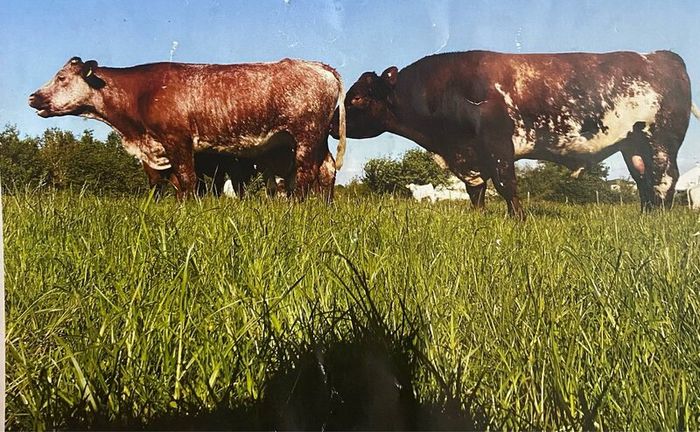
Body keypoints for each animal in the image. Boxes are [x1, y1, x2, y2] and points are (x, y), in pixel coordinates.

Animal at [29, 57, 346, 200]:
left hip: (305, 135)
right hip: (318, 139)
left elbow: (186, 180)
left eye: (61, 77)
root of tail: (318, 65)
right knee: (327, 170)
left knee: (306, 174)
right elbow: (175, 183)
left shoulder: (177, 140)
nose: (33, 97)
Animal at [331, 50, 696, 218]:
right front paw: (478, 217)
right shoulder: (468, 154)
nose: (334, 123)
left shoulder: (496, 144)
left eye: (357, 98)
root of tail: (662, 55)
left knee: (664, 179)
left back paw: (660, 218)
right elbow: (476, 189)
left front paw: (518, 218)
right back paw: (647, 216)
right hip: (632, 145)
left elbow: (506, 183)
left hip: (661, 140)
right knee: (644, 181)